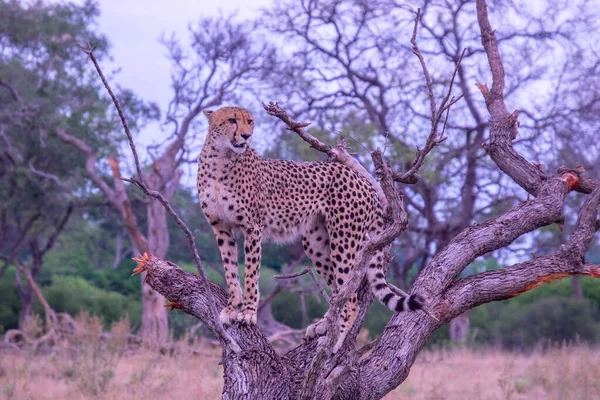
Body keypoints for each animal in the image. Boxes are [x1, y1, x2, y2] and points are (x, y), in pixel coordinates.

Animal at [197, 105, 422, 350]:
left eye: (250, 121)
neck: (222, 157)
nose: (246, 136)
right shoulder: (221, 227)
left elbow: (251, 273)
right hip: (316, 242)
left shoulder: (252, 227)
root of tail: (359, 177)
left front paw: (247, 312)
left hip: (344, 239)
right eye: (232, 120)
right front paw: (232, 307)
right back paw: (324, 325)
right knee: (338, 292)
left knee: (350, 299)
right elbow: (230, 270)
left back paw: (335, 340)